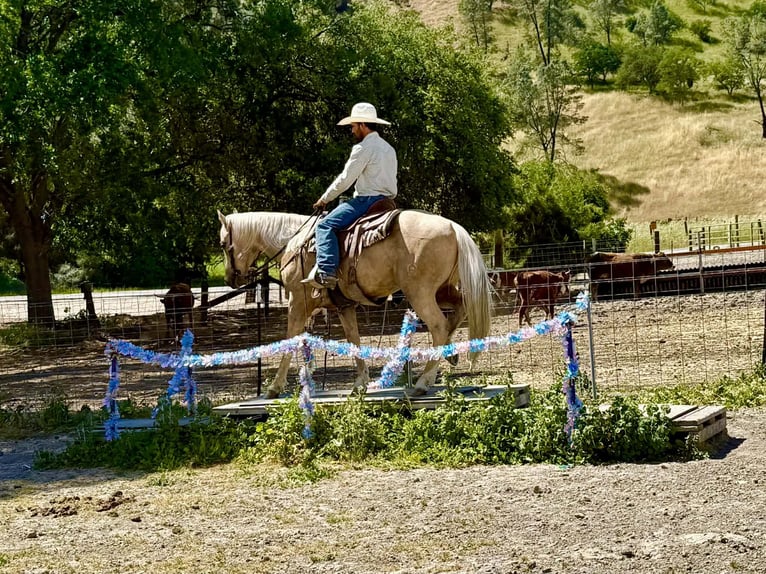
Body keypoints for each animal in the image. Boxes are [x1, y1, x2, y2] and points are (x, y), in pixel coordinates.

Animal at [218, 208, 492, 398]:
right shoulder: (344, 306)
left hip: (420, 293)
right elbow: (354, 340)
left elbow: (290, 339)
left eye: (222, 243)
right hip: (442, 290)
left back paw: (423, 382)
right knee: (459, 310)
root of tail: (453, 227)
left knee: (439, 326)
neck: (294, 243)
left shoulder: (297, 302)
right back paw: (451, 355)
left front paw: (274, 387)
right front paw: (360, 383)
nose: (231, 278)